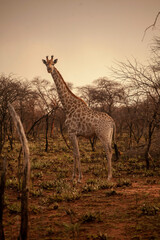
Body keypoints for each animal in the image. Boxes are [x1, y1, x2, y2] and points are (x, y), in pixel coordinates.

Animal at [42, 54, 118, 182]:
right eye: (46, 63)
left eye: (53, 63)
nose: (49, 69)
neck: (68, 107)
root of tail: (112, 121)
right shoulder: (74, 134)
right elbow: (74, 154)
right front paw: (73, 176)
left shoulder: (71, 132)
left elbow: (77, 154)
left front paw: (79, 178)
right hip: (109, 135)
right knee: (111, 150)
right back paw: (110, 175)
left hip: (102, 135)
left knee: (108, 151)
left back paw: (109, 176)